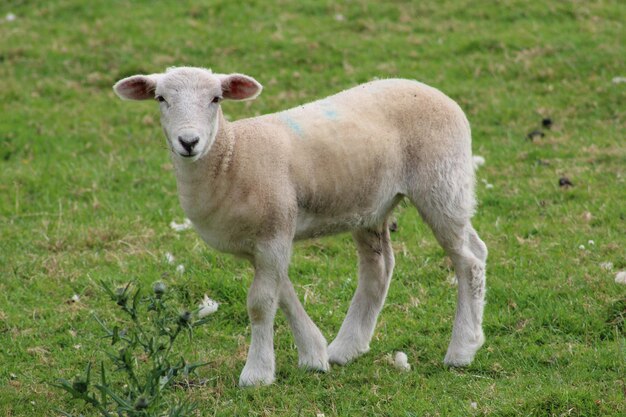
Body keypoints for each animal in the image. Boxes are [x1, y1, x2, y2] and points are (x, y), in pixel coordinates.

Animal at [112, 66, 486, 386]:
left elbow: (261, 303)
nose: (188, 142)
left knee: (469, 259)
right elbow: (283, 294)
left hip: (442, 183)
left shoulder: (274, 230)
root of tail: (435, 91)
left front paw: (257, 373)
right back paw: (346, 348)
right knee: (378, 267)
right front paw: (314, 355)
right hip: (371, 203)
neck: (232, 157)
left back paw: (462, 349)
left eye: (216, 98)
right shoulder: (263, 242)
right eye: (161, 98)